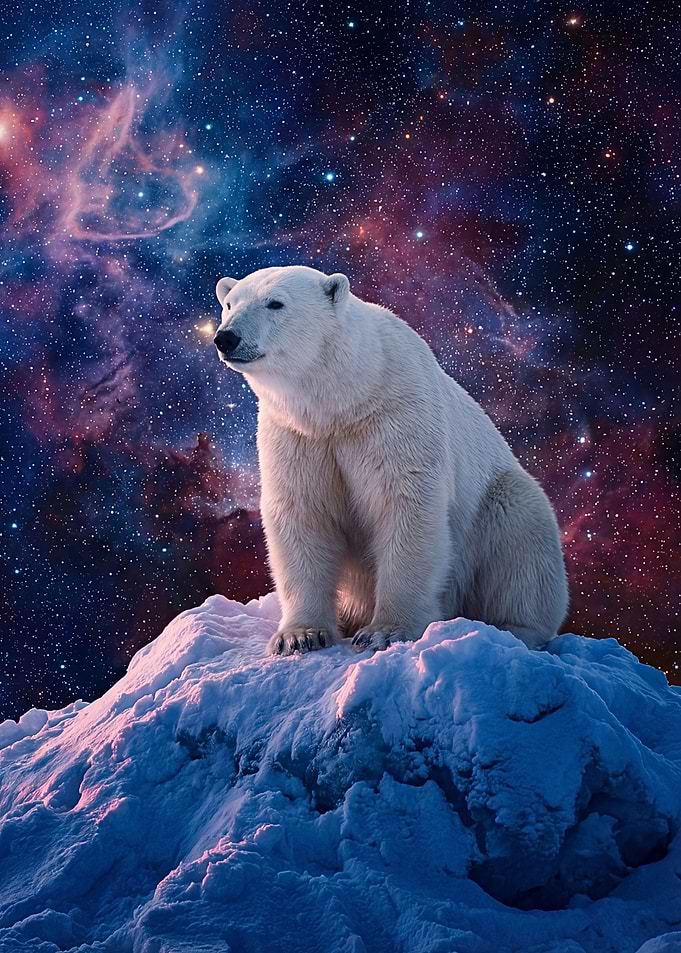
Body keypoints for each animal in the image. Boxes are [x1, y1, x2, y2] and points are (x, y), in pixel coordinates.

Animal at [214, 265, 569, 656]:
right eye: (229, 303)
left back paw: (515, 629)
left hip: (497, 504)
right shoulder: (297, 435)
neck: (344, 401)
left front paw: (384, 631)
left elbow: (405, 504)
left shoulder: (394, 415)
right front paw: (300, 636)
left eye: (275, 303)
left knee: (522, 541)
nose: (226, 338)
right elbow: (302, 511)